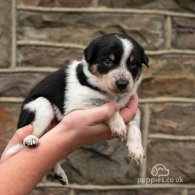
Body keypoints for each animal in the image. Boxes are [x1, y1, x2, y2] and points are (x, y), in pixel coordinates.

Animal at [6, 33, 149, 184]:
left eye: (133, 64)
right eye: (107, 61)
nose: (122, 83)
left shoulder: (131, 106)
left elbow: (135, 126)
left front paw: (136, 149)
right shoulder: (78, 103)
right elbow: (105, 104)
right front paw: (119, 126)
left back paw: (59, 173)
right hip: (42, 105)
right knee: (30, 134)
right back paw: (31, 140)